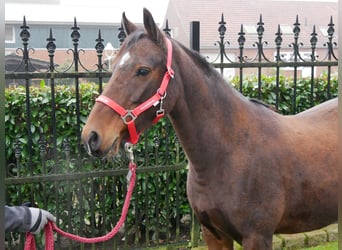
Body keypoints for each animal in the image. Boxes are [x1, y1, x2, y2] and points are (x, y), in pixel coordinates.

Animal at [81, 8, 338, 249]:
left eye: (143, 70)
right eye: (113, 66)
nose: (91, 136)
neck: (230, 152)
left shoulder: (257, 237)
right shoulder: (214, 234)